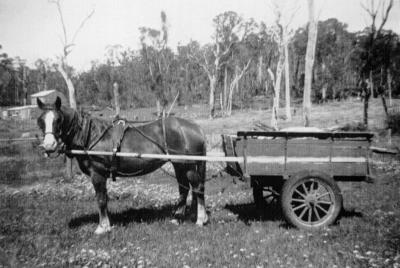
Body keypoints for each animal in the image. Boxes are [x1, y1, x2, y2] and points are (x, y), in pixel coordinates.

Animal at [36, 97, 209, 234]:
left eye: (58, 120)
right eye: (40, 121)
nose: (49, 146)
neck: (91, 135)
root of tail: (196, 128)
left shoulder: (97, 174)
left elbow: (101, 199)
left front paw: (102, 227)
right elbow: (104, 198)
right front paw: (107, 224)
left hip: (187, 165)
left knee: (197, 188)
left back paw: (201, 219)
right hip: (179, 165)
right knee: (184, 189)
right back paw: (177, 218)